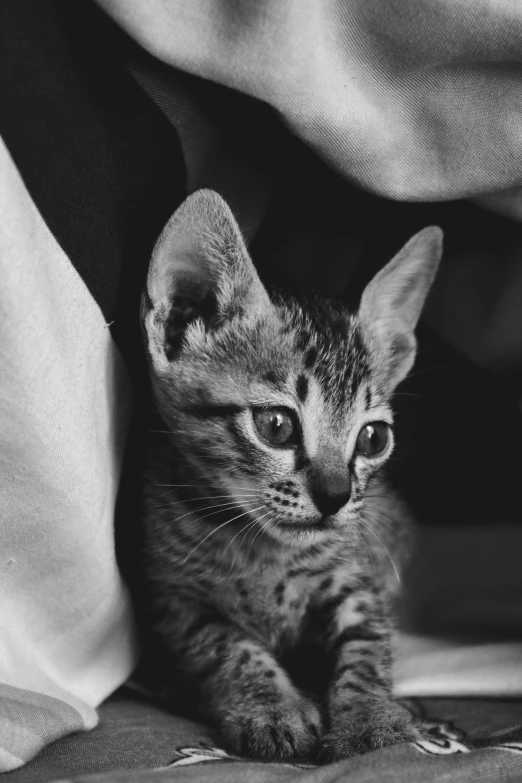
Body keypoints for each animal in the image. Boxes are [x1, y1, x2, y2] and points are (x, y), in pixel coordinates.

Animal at [138, 188, 438, 760]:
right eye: (276, 426)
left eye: (373, 438)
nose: (335, 496)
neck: (262, 550)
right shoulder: (174, 597)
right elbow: (226, 646)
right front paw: (272, 708)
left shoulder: (356, 576)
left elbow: (367, 646)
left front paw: (370, 720)